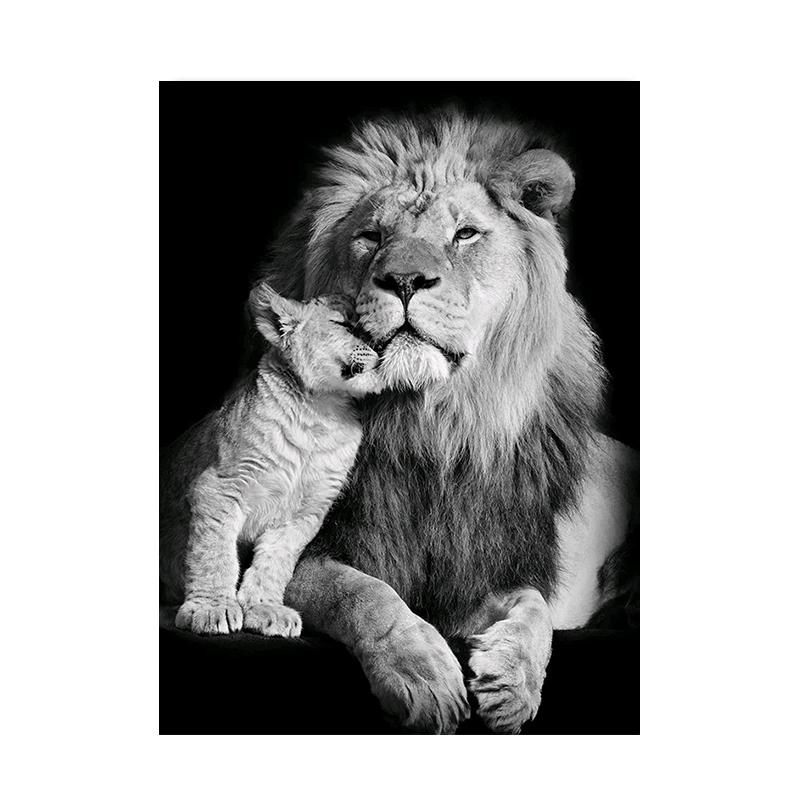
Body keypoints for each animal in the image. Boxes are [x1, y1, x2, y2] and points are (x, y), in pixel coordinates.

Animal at [257, 109, 638, 734]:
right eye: (372, 237)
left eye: (464, 235)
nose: (405, 280)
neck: (432, 426)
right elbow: (363, 592)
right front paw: (422, 673)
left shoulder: (483, 570)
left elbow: (534, 607)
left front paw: (514, 682)